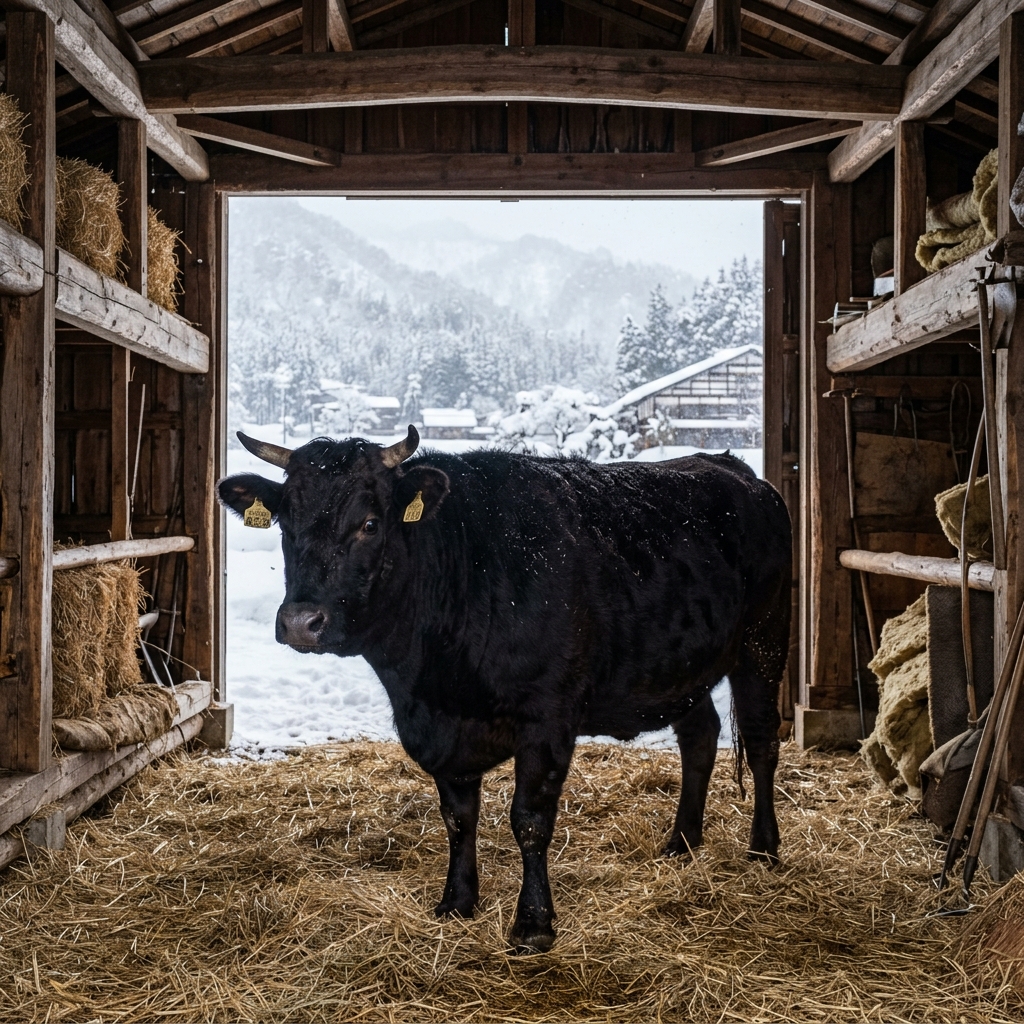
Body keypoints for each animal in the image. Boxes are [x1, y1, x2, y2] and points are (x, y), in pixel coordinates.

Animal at [219, 425, 791, 953]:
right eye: (285, 523)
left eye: (369, 523)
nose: (300, 622)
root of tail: (731, 466)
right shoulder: (443, 726)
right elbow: (458, 816)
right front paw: (457, 901)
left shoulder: (547, 716)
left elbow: (529, 819)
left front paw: (533, 924)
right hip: (679, 669)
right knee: (701, 737)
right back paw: (682, 843)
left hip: (763, 643)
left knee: (762, 740)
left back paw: (764, 849)